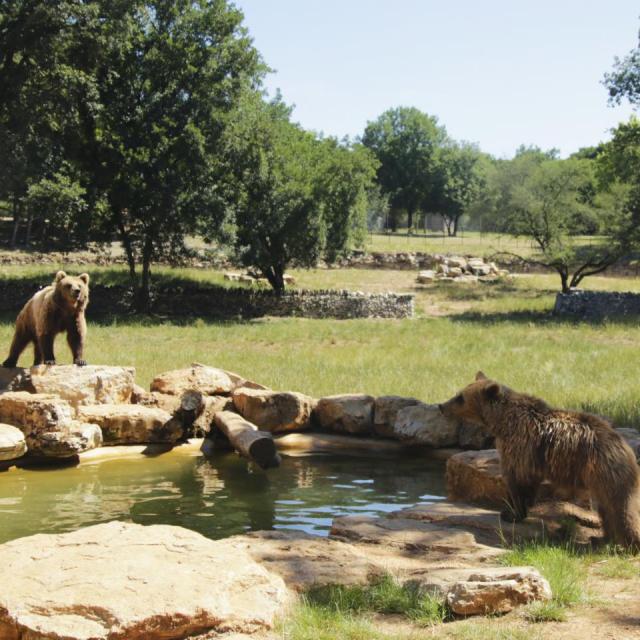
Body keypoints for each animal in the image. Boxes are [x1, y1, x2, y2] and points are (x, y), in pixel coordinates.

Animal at [440, 372, 640, 548]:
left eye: (460, 398)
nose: (441, 406)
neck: (502, 423)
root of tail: (624, 447)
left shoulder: (520, 447)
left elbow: (519, 481)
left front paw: (510, 513)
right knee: (607, 510)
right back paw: (601, 538)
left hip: (603, 471)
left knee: (620, 507)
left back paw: (629, 542)